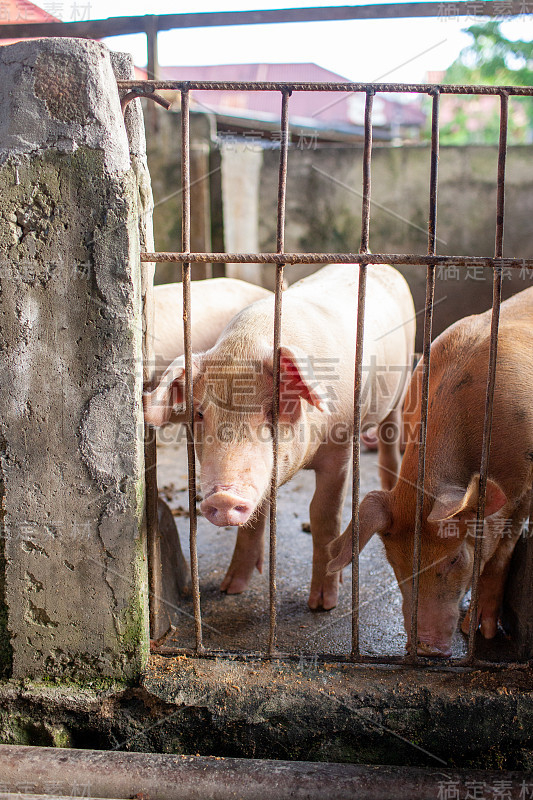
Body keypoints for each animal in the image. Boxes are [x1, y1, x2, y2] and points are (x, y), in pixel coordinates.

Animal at [144, 262, 416, 608]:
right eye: (200, 413)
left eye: (271, 411)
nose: (222, 497)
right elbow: (257, 517)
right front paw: (230, 588)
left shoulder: (340, 449)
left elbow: (324, 515)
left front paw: (322, 604)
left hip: (401, 380)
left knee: (390, 434)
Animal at [326, 288, 532, 656]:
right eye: (396, 564)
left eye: (454, 559)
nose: (426, 648)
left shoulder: (525, 483)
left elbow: (501, 553)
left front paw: (482, 631)